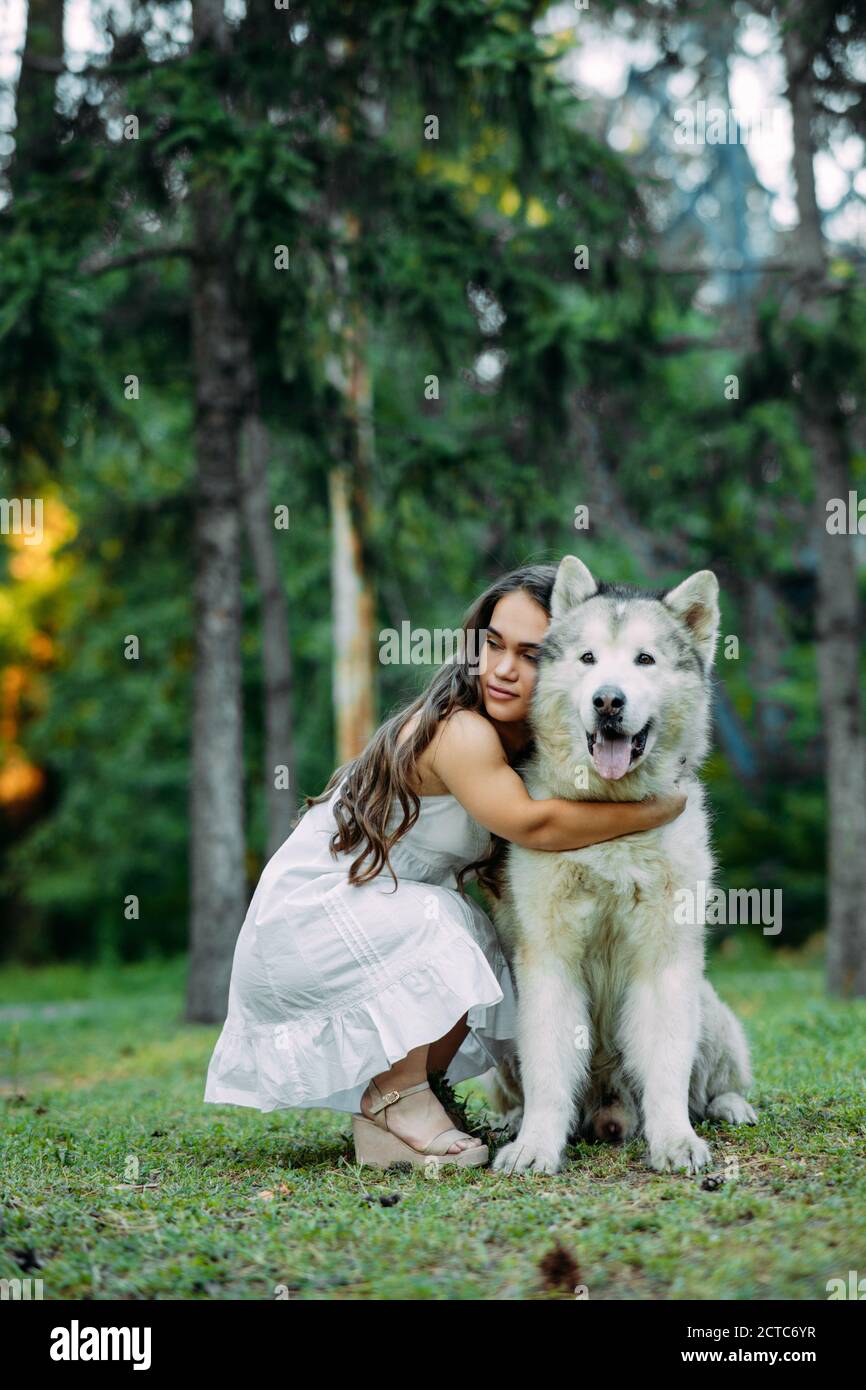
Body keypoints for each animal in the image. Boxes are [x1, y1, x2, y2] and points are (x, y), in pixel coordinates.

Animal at [492, 553, 756, 1173]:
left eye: (645, 659)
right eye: (588, 658)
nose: (608, 701)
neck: (608, 820)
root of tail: (611, 1110)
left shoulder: (666, 960)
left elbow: (666, 1069)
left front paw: (676, 1140)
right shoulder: (548, 960)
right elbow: (547, 1074)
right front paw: (535, 1145)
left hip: (706, 1004)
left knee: (714, 1081)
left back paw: (728, 1105)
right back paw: (513, 1121)